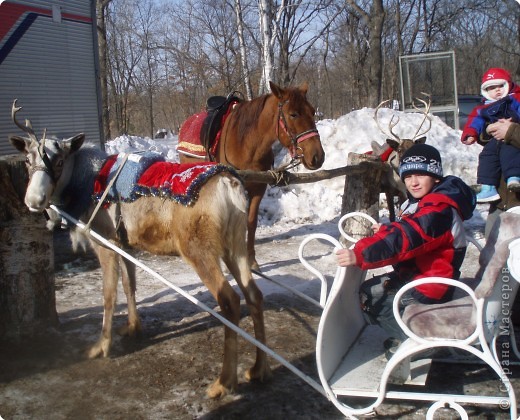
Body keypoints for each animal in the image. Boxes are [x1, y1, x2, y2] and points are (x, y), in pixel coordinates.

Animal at [179, 81, 324, 270]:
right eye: (293, 114)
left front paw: (252, 260)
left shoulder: (258, 188)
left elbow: (251, 222)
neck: (247, 144)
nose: (317, 157)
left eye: (313, 111)